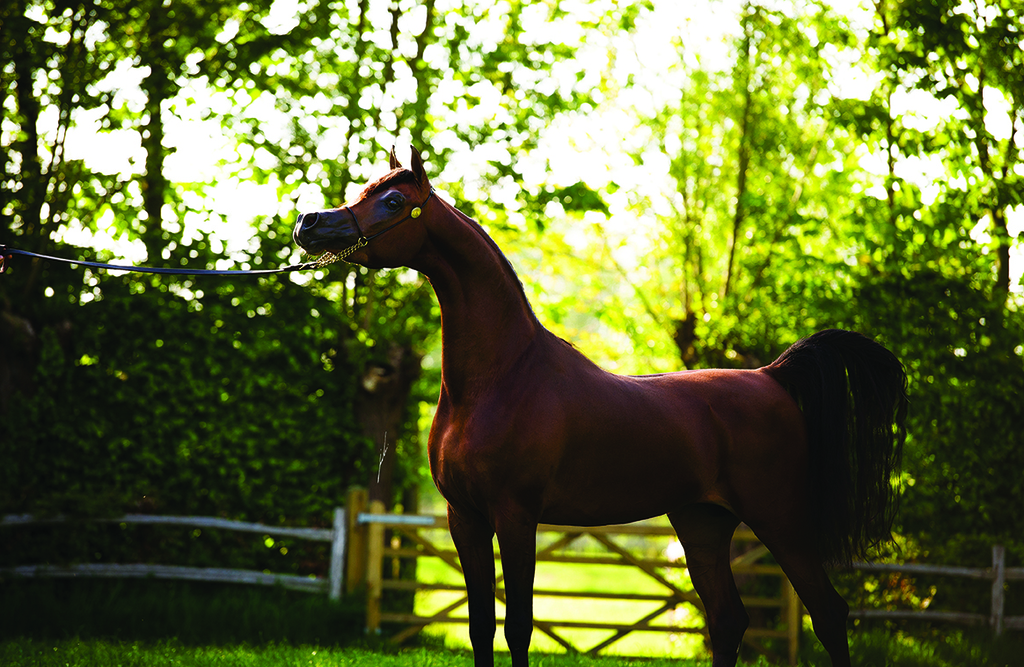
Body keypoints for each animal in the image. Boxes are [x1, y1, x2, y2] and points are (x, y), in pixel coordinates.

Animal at [292, 147, 908, 667]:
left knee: (828, 612)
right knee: (729, 620)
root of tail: (770, 377)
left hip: (780, 519)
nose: (309, 223)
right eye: (366, 189)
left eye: (394, 201)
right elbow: (481, 627)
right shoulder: (464, 518)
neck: (500, 377)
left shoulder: (515, 515)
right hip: (703, 524)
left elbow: (518, 625)